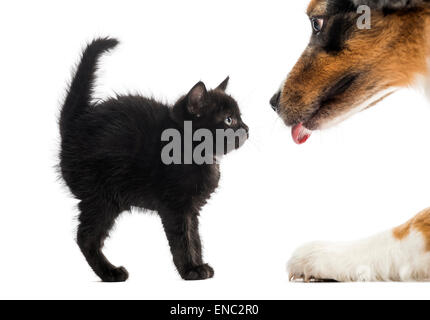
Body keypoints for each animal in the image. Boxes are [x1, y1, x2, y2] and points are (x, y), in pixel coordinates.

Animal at [59, 38, 249, 282]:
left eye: (240, 117)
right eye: (228, 120)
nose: (247, 128)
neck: (192, 149)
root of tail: (75, 123)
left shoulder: (191, 209)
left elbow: (195, 237)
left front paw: (199, 265)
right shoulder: (175, 206)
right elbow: (183, 239)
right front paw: (190, 269)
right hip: (102, 196)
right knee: (86, 237)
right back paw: (110, 272)